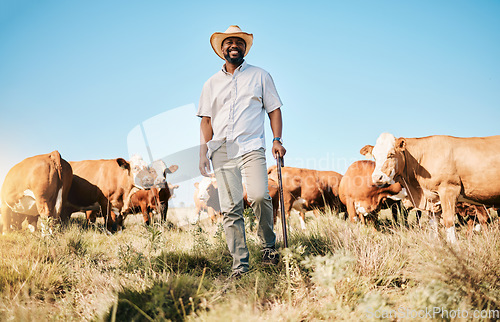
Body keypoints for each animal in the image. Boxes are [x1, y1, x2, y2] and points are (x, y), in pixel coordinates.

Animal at [362, 132, 500, 243]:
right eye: (374, 156)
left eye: (391, 154)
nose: (377, 177)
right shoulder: (433, 199)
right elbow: (433, 225)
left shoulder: (449, 190)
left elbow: (449, 221)